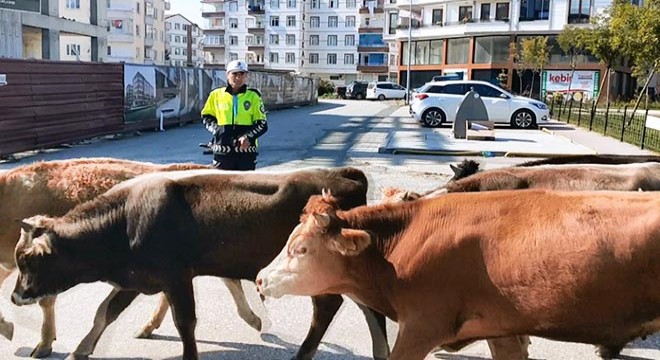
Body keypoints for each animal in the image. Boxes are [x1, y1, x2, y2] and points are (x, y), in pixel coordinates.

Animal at [10, 168, 390, 360]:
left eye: (28, 259)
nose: (15, 297)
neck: (125, 221)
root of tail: (343, 174)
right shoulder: (138, 279)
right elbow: (104, 313)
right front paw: (79, 351)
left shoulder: (176, 277)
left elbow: (185, 323)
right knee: (366, 306)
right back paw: (381, 351)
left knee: (327, 307)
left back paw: (305, 354)